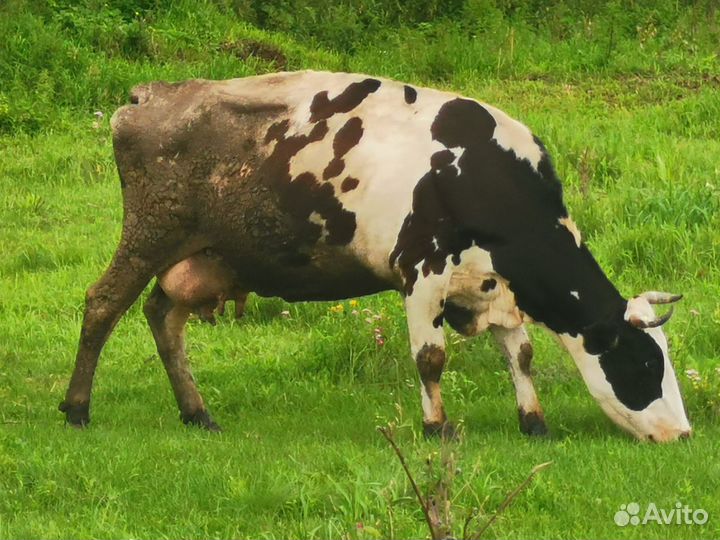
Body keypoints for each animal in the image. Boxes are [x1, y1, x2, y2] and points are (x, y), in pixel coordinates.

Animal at [59, 70, 691, 442]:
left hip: (201, 255)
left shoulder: (495, 286)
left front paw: (533, 421)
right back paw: (76, 408)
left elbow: (522, 354)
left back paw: (197, 412)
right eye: (645, 365)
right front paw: (437, 427)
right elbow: (431, 359)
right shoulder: (422, 273)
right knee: (103, 304)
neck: (482, 178)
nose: (683, 435)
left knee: (163, 317)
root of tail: (152, 95)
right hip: (150, 233)